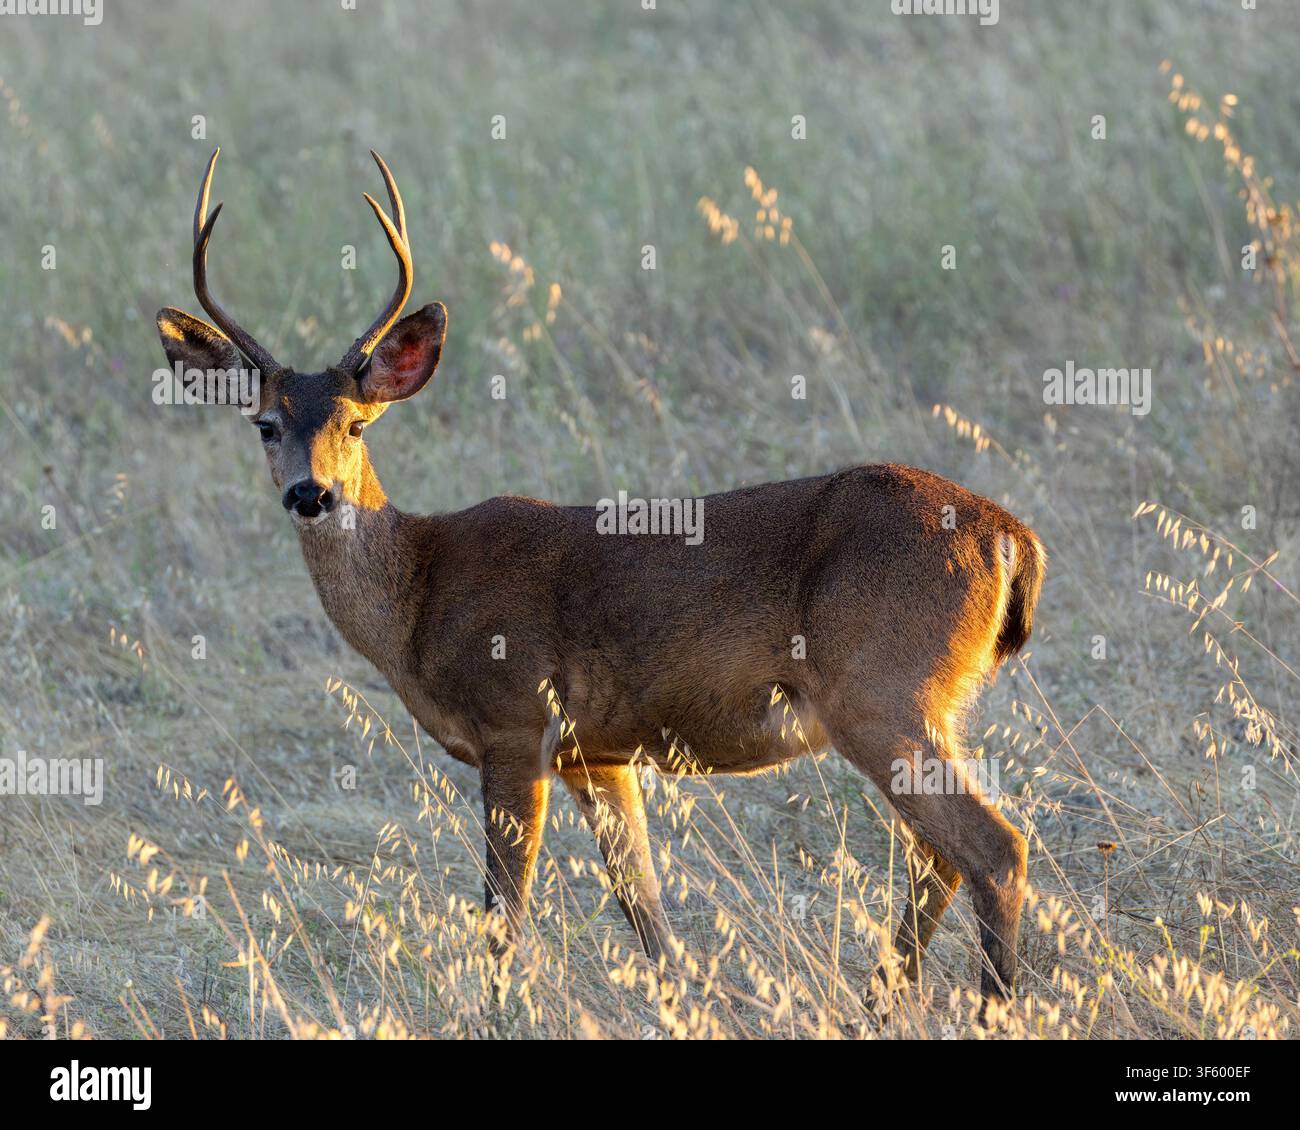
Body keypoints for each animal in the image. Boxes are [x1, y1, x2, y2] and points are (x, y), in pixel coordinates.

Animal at [157, 149, 1046, 1015]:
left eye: (356, 423)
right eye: (266, 425)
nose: (312, 494)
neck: (417, 595)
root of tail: (1011, 535)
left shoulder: (515, 722)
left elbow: (503, 917)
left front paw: (498, 1017)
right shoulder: (599, 755)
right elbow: (648, 917)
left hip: (882, 688)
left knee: (993, 847)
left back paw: (988, 1011)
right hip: (919, 703)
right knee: (940, 853)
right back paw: (879, 1005)